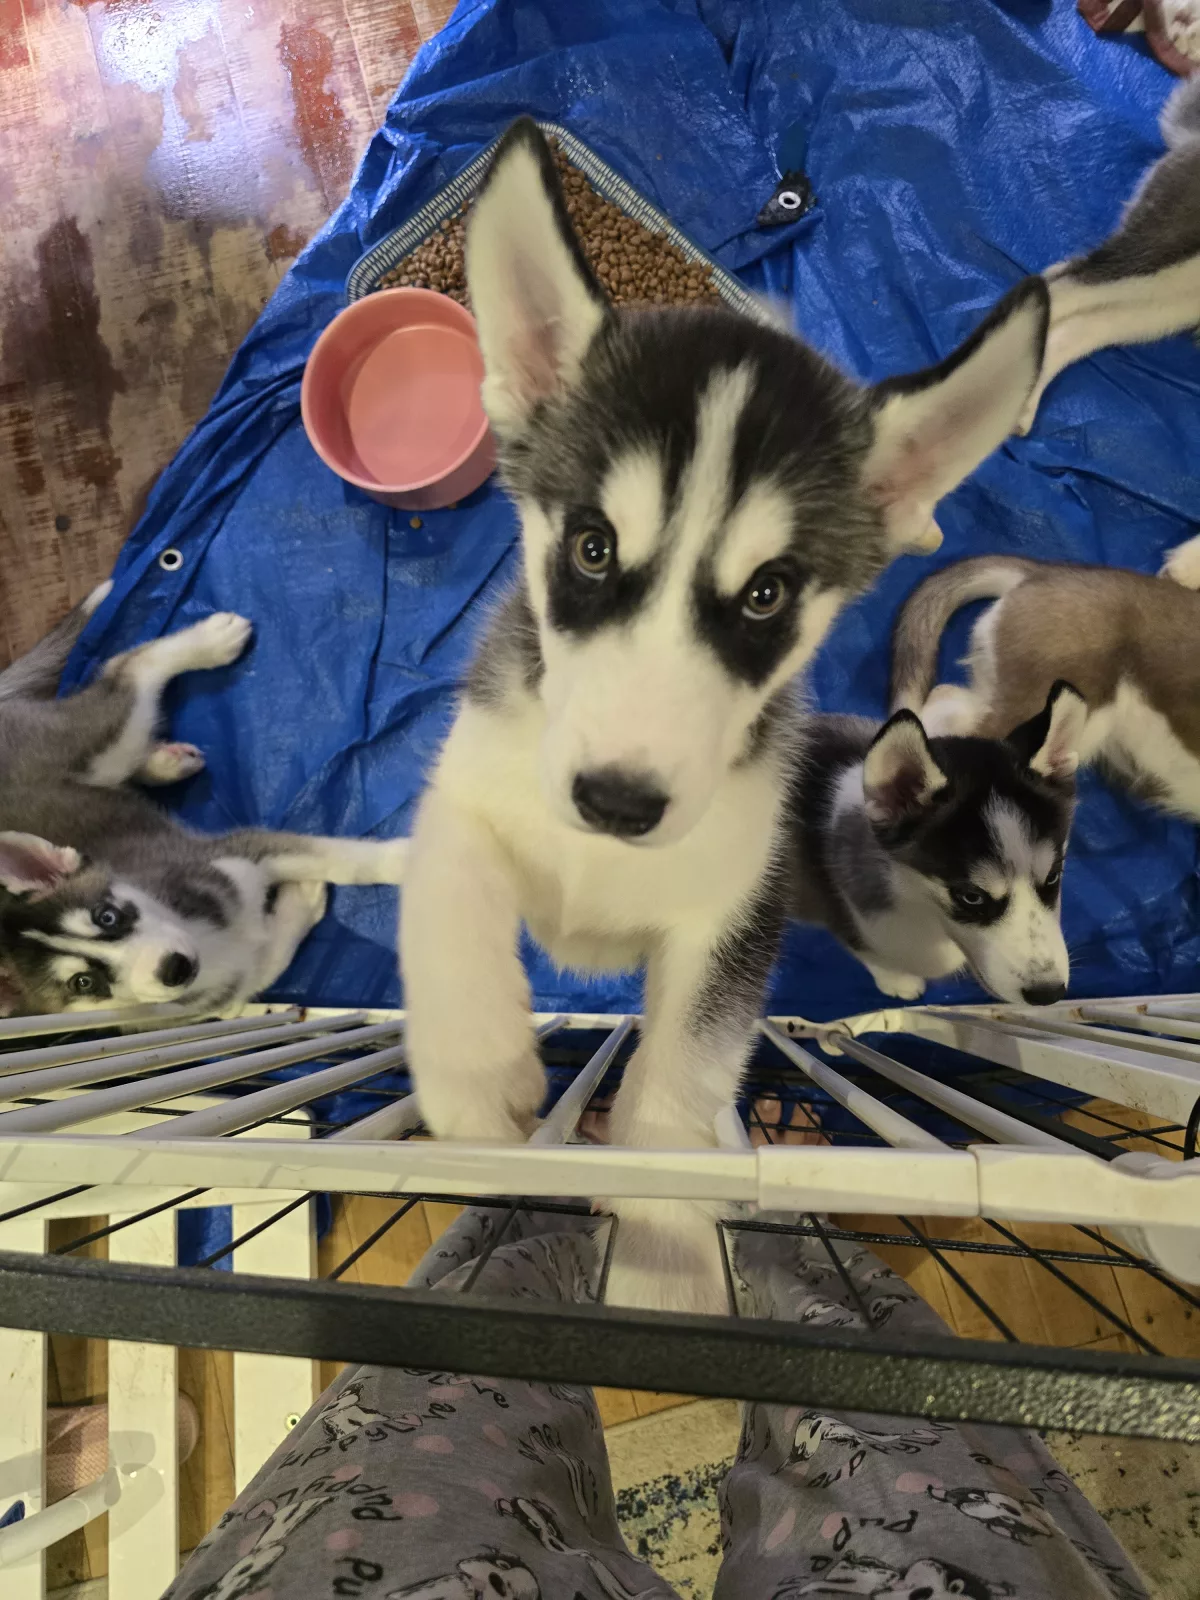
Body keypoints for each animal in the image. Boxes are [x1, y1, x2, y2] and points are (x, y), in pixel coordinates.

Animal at [0, 588, 406, 1017]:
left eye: (106, 916)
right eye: (84, 983)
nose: (174, 967)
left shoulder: (233, 853)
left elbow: (345, 860)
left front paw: (406, 860)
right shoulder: (224, 995)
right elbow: (267, 960)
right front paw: (299, 904)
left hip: (96, 743)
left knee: (127, 668)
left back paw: (210, 643)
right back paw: (164, 762)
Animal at [397, 117, 1051, 1313]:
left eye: (766, 596)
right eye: (593, 547)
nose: (616, 801)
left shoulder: (735, 916)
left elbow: (674, 1085)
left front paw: (665, 1251)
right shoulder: (471, 782)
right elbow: (450, 894)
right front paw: (475, 1078)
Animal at [788, 686, 1084, 1005]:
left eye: (1053, 876)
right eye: (971, 897)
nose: (1048, 993)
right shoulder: (841, 913)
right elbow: (866, 950)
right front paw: (896, 979)